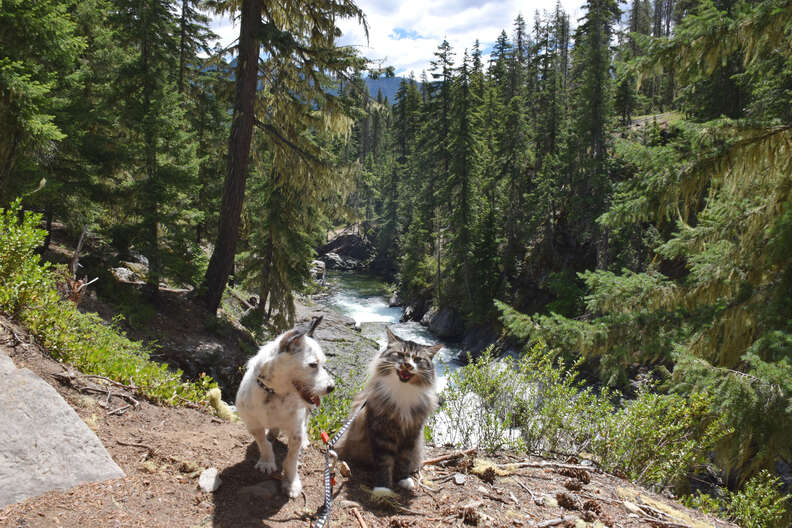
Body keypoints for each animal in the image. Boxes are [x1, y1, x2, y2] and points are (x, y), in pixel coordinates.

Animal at [235, 316, 334, 498]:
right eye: (313, 364)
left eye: (323, 364)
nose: (332, 387)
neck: (274, 393)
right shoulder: (253, 425)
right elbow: (263, 443)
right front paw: (267, 461)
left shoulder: (295, 432)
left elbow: (291, 460)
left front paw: (291, 482)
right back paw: (272, 433)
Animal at [336, 326, 442, 496]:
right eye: (400, 355)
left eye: (417, 359)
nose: (407, 365)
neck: (403, 391)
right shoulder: (381, 432)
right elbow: (384, 462)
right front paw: (383, 488)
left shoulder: (412, 432)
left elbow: (404, 459)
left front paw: (404, 480)